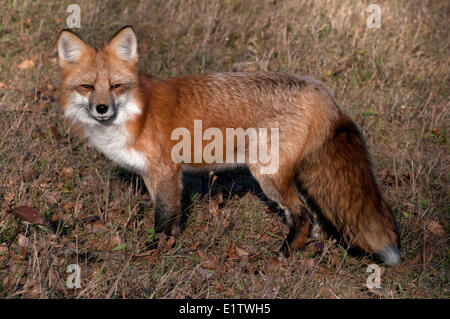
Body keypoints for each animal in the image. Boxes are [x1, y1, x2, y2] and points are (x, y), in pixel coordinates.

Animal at [57, 26, 400, 266]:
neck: (137, 112)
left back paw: (284, 254)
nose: (102, 108)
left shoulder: (166, 172)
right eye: (87, 87)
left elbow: (163, 220)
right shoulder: (152, 176)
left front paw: (154, 254)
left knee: (302, 213)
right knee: (312, 216)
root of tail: (318, 88)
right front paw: (166, 248)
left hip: (267, 174)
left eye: (116, 86)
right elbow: (170, 219)